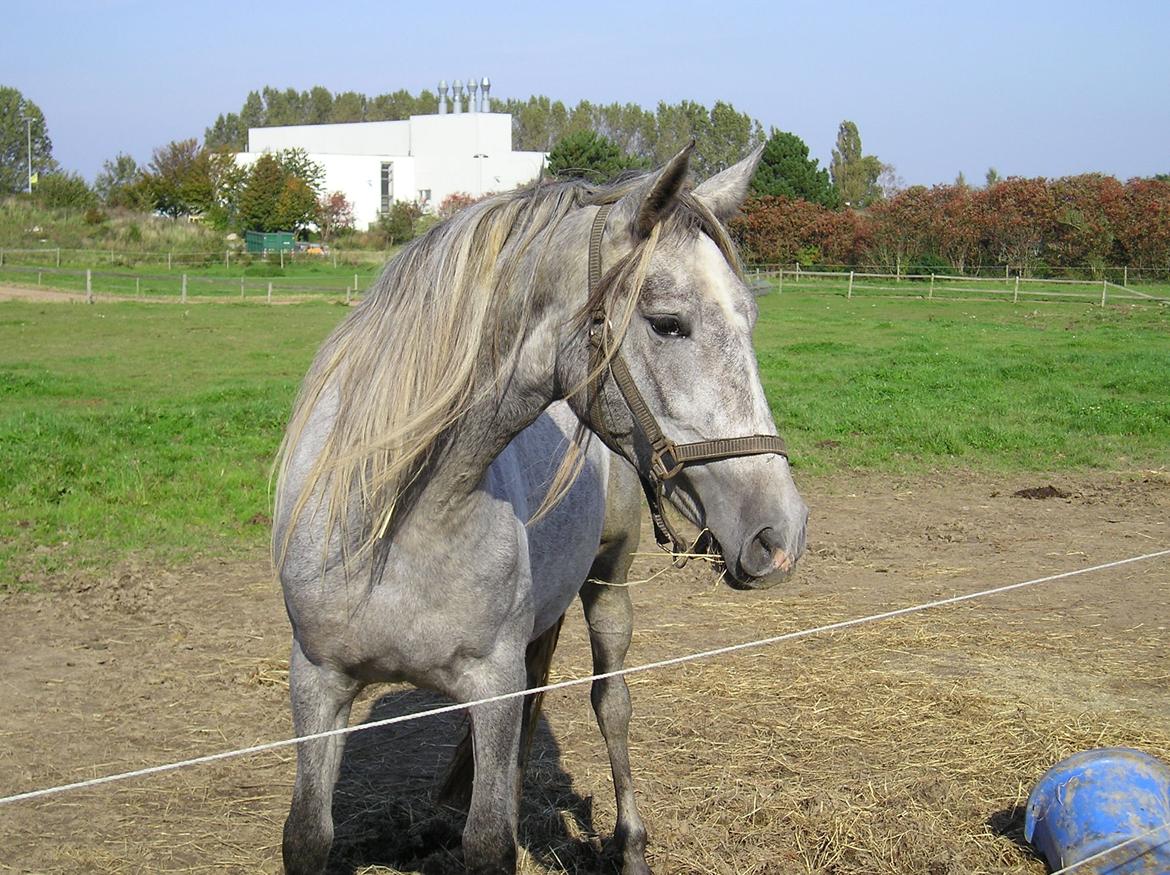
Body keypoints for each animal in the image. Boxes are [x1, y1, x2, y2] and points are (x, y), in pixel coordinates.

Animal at [271, 145, 804, 875]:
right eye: (668, 322)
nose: (780, 531)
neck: (396, 524)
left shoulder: (491, 684)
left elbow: (489, 839)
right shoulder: (316, 681)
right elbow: (308, 833)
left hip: (608, 582)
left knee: (612, 704)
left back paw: (629, 845)